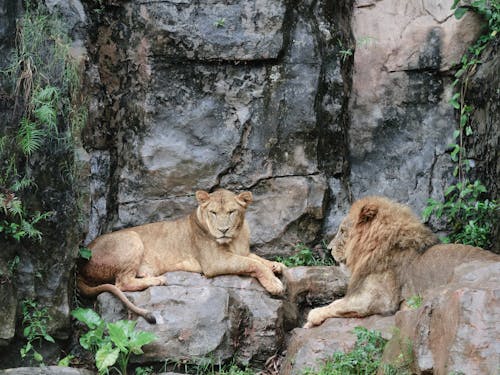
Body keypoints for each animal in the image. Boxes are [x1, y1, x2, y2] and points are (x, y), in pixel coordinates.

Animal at [76, 189, 284, 324]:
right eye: (213, 212)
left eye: (232, 212)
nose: (223, 230)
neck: (236, 236)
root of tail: (80, 264)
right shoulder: (214, 263)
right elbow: (252, 263)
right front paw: (275, 284)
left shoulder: (242, 251)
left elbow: (257, 258)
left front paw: (276, 265)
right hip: (132, 238)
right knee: (122, 283)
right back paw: (158, 280)